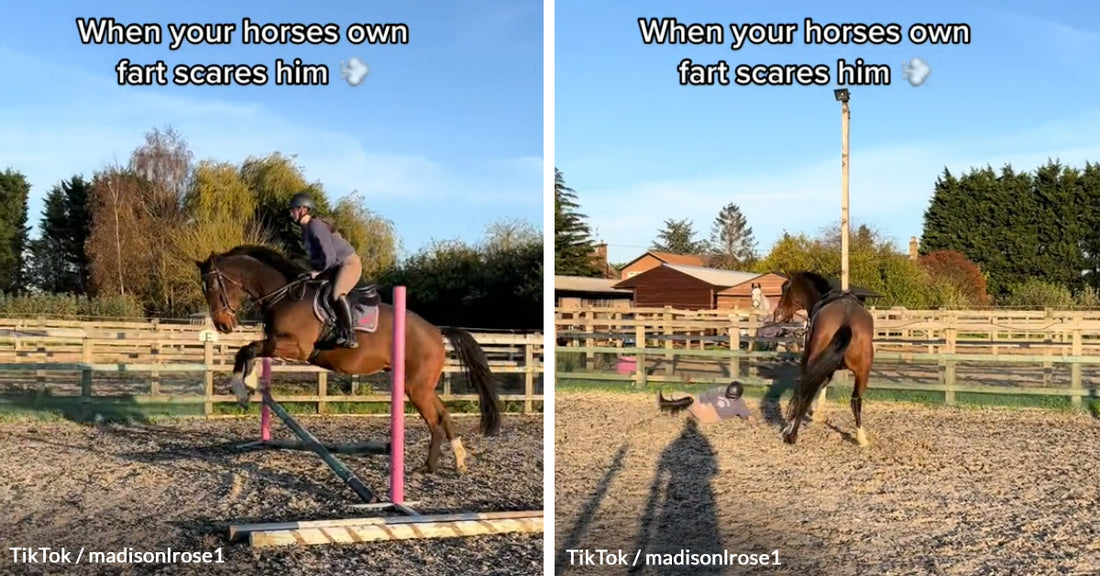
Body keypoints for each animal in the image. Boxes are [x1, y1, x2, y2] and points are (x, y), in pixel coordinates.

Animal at [195, 245, 501, 475]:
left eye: (213, 286)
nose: (222, 325)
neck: (283, 295)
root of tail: (437, 331)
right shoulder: (276, 343)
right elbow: (249, 350)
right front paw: (249, 384)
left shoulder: (296, 347)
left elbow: (247, 349)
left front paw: (242, 389)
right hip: (419, 386)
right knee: (443, 414)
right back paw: (454, 461)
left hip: (416, 387)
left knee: (435, 420)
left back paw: (431, 466)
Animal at [772, 271, 874, 446]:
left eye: (785, 288)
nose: (777, 314)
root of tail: (847, 321)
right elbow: (825, 382)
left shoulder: (808, 360)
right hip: (863, 371)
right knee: (855, 400)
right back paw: (861, 438)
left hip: (813, 359)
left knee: (805, 394)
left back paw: (791, 434)